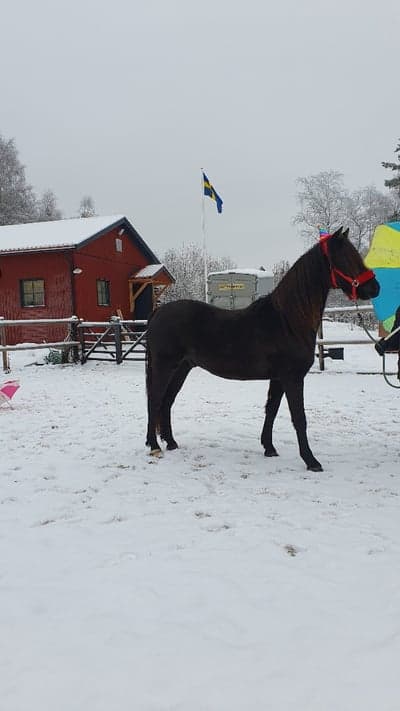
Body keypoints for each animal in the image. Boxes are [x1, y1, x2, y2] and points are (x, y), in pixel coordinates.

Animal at [145, 229, 380, 472]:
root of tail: (159, 312)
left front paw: (269, 448)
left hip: (182, 368)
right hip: (165, 366)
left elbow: (272, 410)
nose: (375, 288)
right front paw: (311, 460)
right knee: (155, 399)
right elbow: (299, 418)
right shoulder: (293, 377)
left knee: (167, 401)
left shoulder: (278, 378)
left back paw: (171, 443)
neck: (288, 320)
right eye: (346, 258)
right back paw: (154, 446)